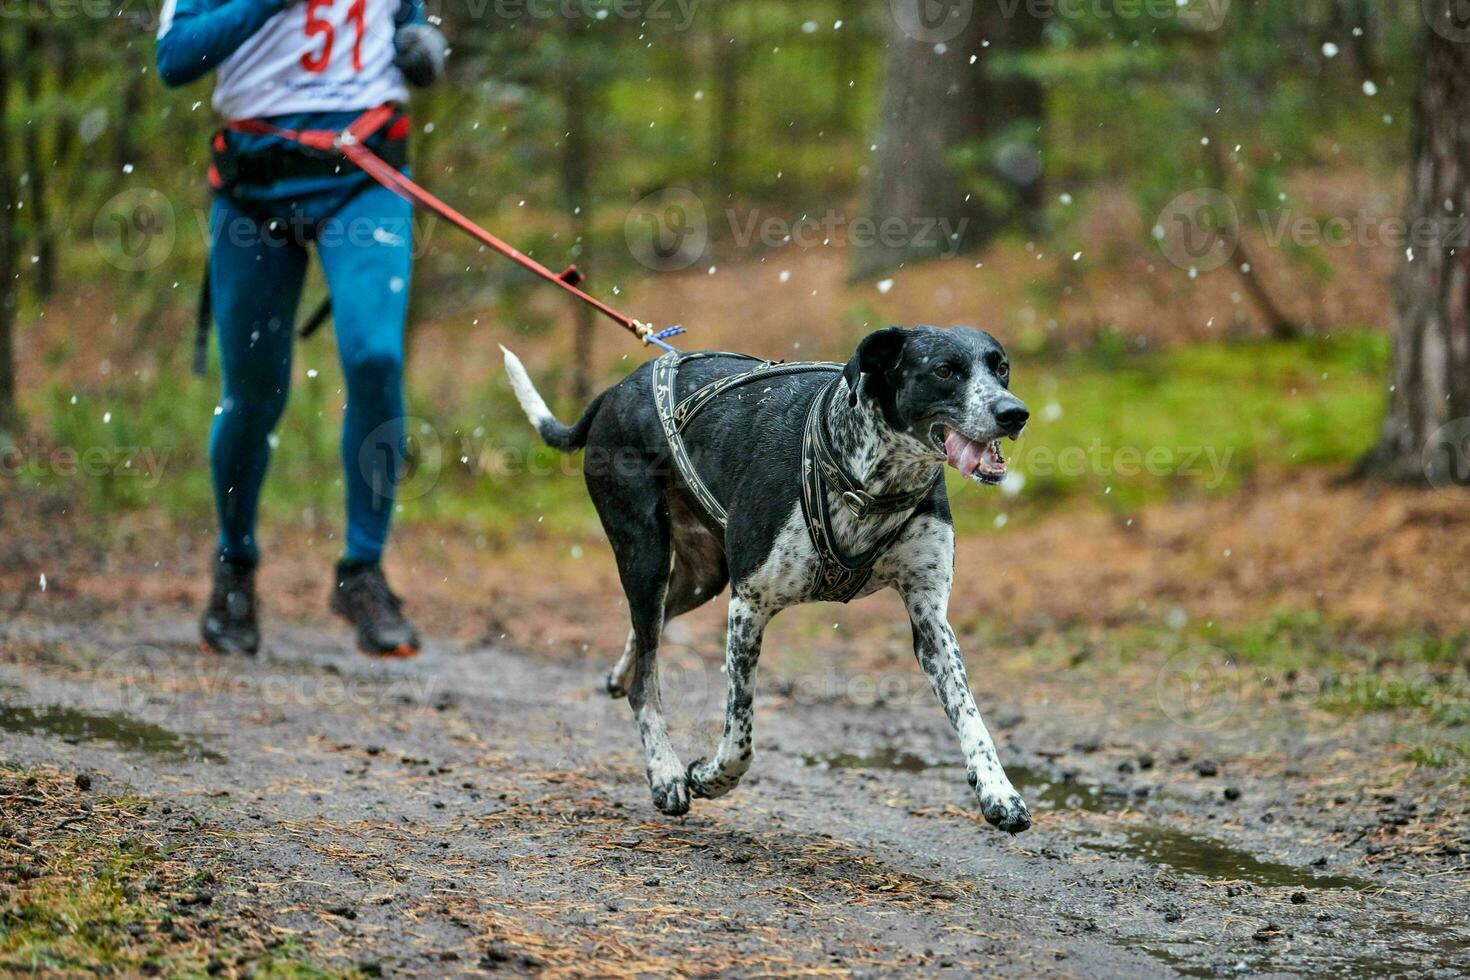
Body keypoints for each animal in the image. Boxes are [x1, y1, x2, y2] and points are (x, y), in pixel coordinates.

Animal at [505, 326, 1034, 834]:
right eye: (945, 370)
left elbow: (971, 716)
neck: (871, 485)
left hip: (701, 578)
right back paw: (665, 772)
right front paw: (708, 777)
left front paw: (999, 792)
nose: (1015, 413)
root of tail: (613, 392)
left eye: (1001, 367)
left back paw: (621, 675)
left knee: (646, 633)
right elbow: (739, 737)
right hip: (646, 555)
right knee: (646, 679)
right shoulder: (749, 605)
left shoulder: (929, 619)